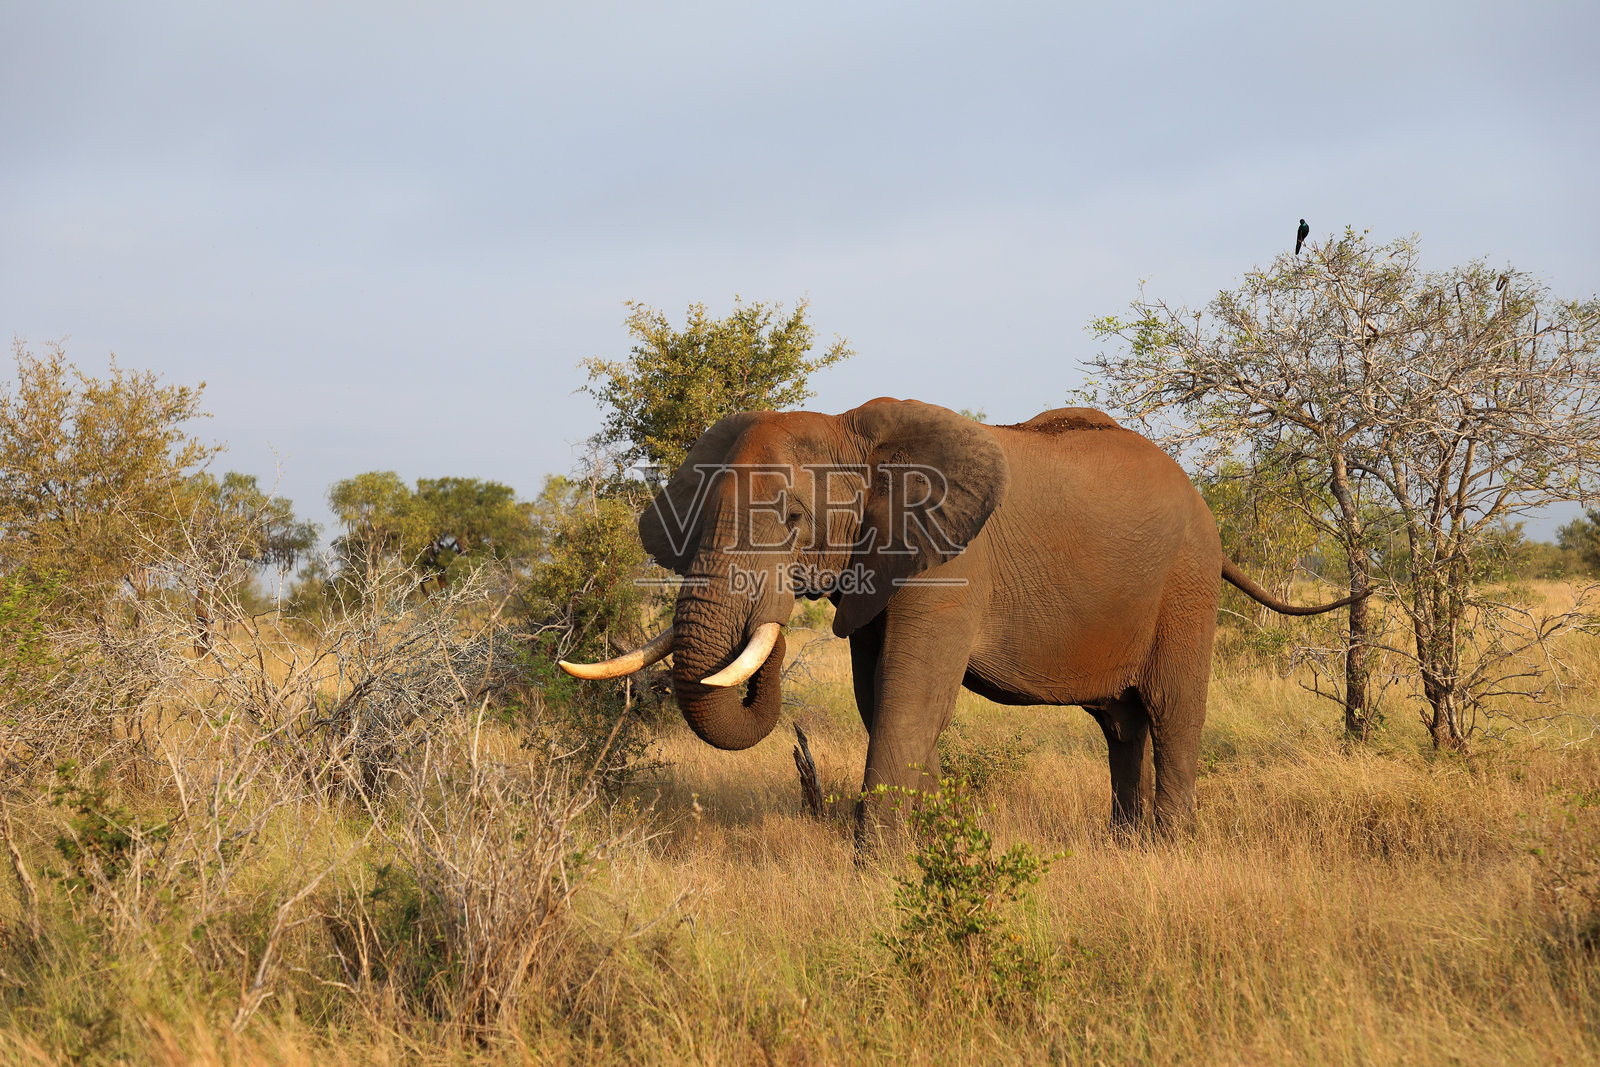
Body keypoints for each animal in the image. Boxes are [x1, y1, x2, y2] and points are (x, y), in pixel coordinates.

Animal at [560, 398, 1358, 838]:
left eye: (791, 520)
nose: (777, 610)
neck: (852, 430)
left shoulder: (948, 563)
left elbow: (910, 698)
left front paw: (879, 866)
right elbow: (884, 701)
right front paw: (931, 844)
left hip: (1186, 583)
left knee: (1172, 710)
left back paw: (1165, 849)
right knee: (1122, 726)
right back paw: (1123, 846)